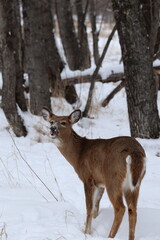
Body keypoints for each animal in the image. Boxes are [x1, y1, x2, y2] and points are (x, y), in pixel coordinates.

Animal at [41, 108, 146, 239]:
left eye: (64, 122)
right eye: (51, 121)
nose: (52, 129)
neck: (79, 154)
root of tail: (135, 152)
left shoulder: (87, 178)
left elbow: (89, 207)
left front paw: (86, 232)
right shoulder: (99, 182)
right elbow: (96, 207)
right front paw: (91, 229)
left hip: (113, 178)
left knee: (120, 208)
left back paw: (110, 236)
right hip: (135, 183)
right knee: (132, 209)